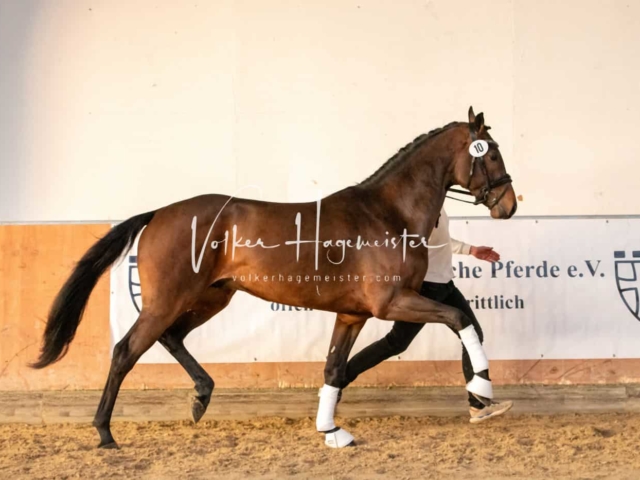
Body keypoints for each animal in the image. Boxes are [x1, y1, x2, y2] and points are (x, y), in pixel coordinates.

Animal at [31, 107, 516, 449]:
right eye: (491, 152)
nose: (509, 205)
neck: (388, 214)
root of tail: (159, 213)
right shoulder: (392, 302)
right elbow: (459, 319)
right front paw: (482, 388)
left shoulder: (353, 315)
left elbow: (334, 368)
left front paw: (331, 431)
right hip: (167, 301)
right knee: (126, 351)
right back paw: (105, 432)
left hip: (212, 298)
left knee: (172, 338)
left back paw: (201, 397)